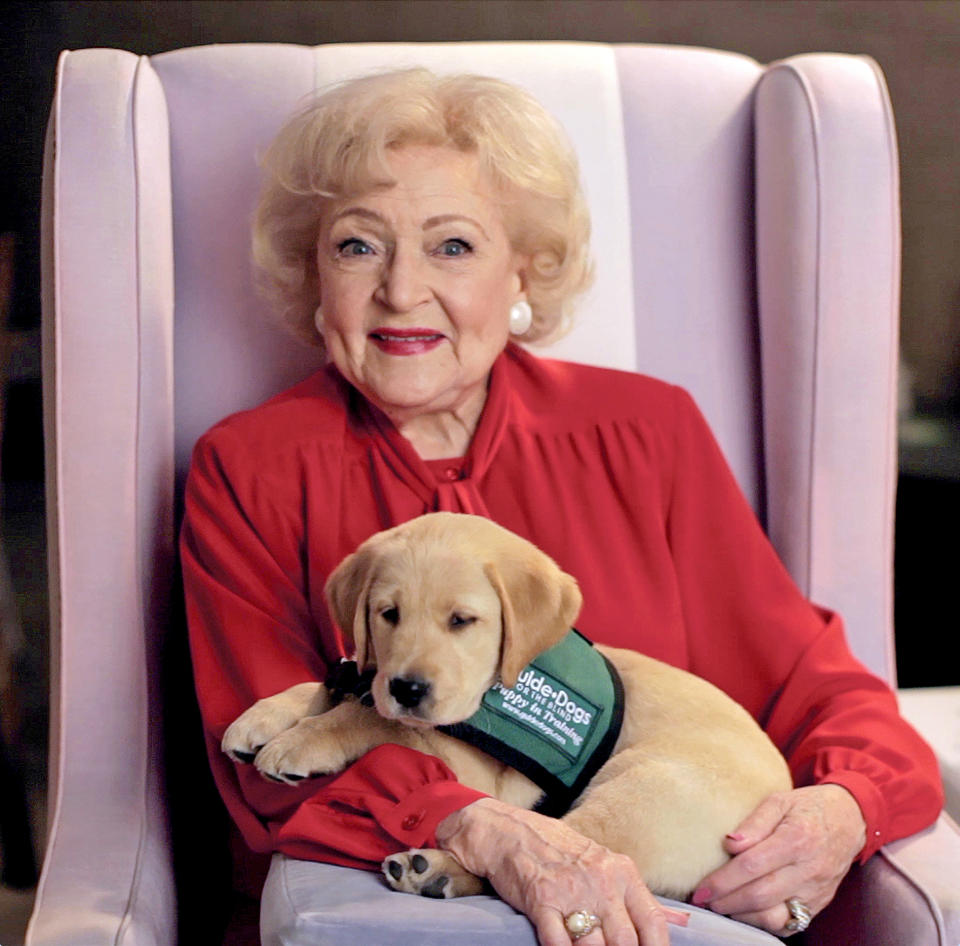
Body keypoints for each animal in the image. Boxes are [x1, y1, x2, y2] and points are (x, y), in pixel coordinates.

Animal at [221, 512, 792, 896]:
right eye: (389, 614)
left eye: (461, 621)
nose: (408, 689)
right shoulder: (373, 672)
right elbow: (342, 685)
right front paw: (262, 717)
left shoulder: (472, 770)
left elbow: (378, 719)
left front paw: (302, 741)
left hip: (643, 793)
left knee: (552, 857)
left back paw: (437, 871)